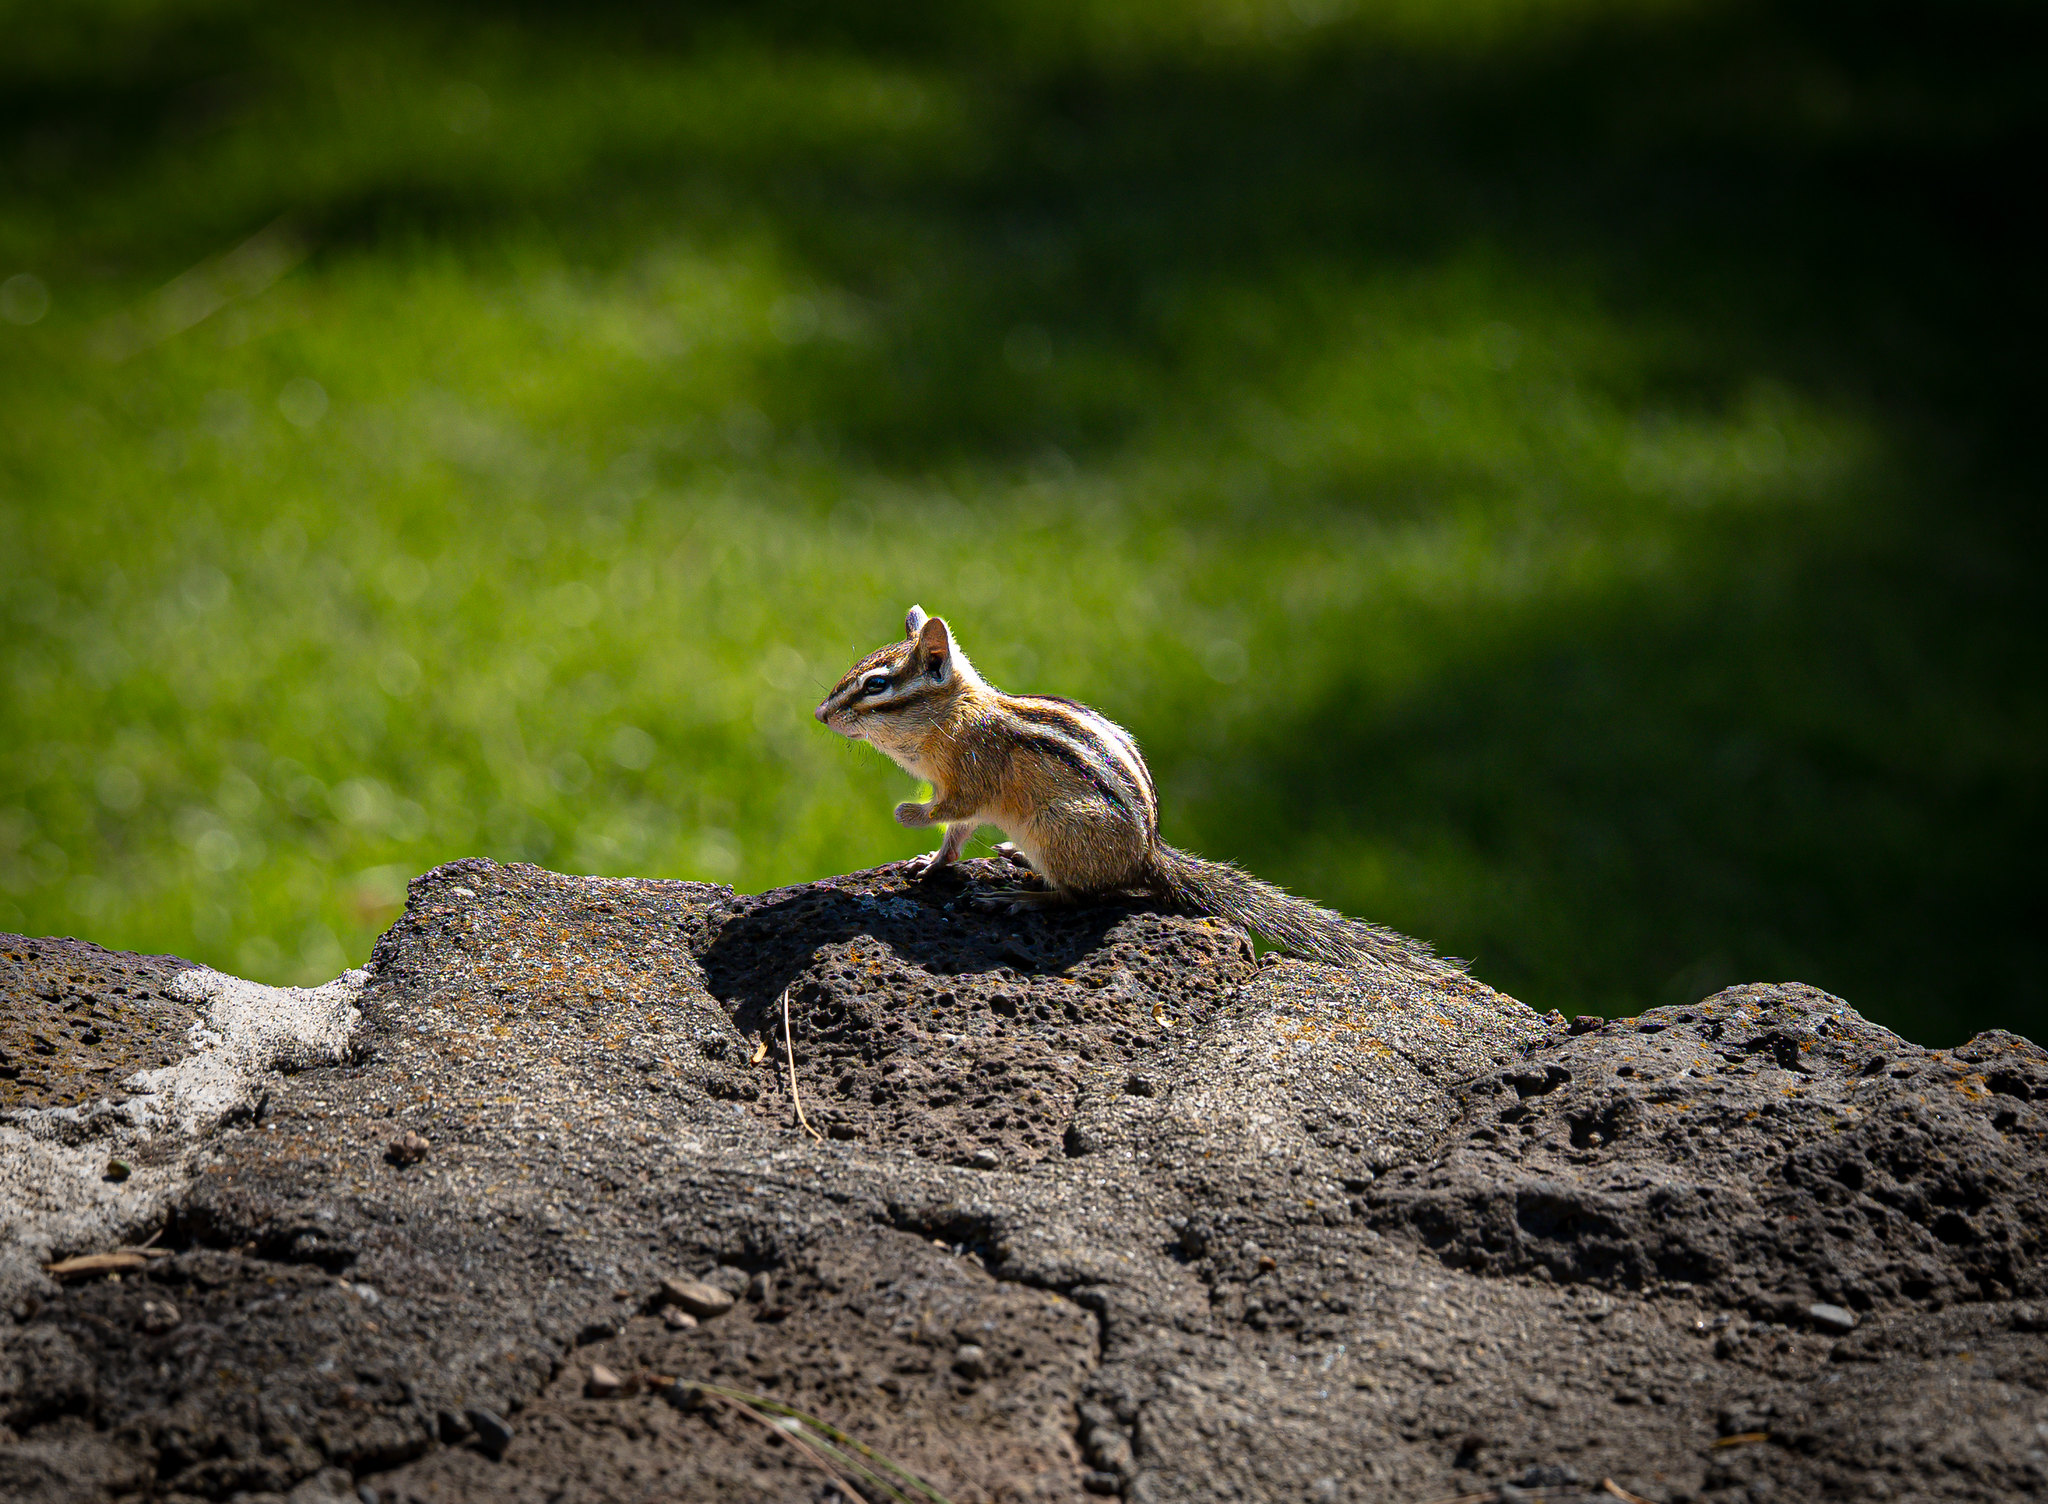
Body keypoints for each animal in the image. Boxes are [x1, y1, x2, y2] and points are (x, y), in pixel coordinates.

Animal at [814, 606, 1460, 975]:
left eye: (876, 685)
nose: (820, 715)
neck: (953, 716)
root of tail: (1147, 855)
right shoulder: (963, 792)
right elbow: (956, 836)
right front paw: (930, 863)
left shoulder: (972, 776)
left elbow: (950, 813)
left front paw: (905, 813)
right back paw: (1012, 857)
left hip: (1058, 829)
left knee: (1084, 896)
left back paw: (1023, 896)